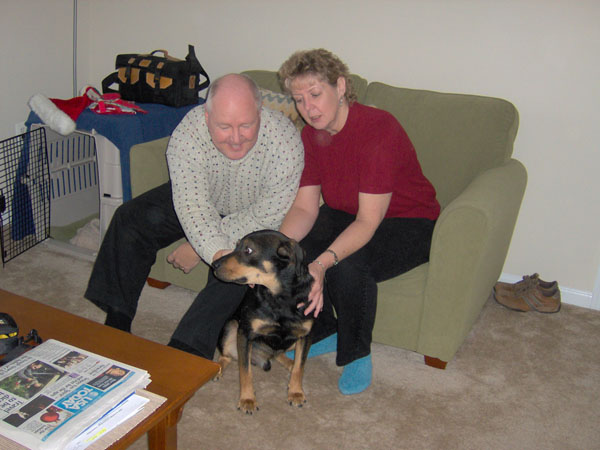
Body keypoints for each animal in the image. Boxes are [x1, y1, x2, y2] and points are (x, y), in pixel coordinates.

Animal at [212, 230, 314, 414]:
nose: (214, 264)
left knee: (280, 354)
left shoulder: (306, 335)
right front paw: (247, 399)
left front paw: (295, 392)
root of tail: (263, 357)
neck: (280, 297)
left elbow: (299, 367)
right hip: (231, 326)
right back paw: (216, 369)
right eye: (236, 245)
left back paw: (289, 363)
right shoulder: (245, 332)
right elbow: (245, 372)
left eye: (248, 250)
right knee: (226, 356)